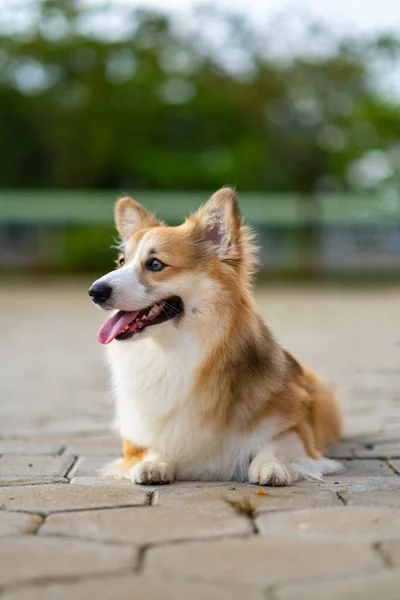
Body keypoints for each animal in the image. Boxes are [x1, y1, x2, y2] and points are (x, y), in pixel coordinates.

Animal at [89, 190, 342, 486]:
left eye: (154, 264)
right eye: (121, 262)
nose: (95, 291)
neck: (174, 353)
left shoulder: (296, 428)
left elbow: (274, 444)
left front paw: (271, 465)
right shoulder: (136, 437)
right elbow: (151, 447)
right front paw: (153, 464)